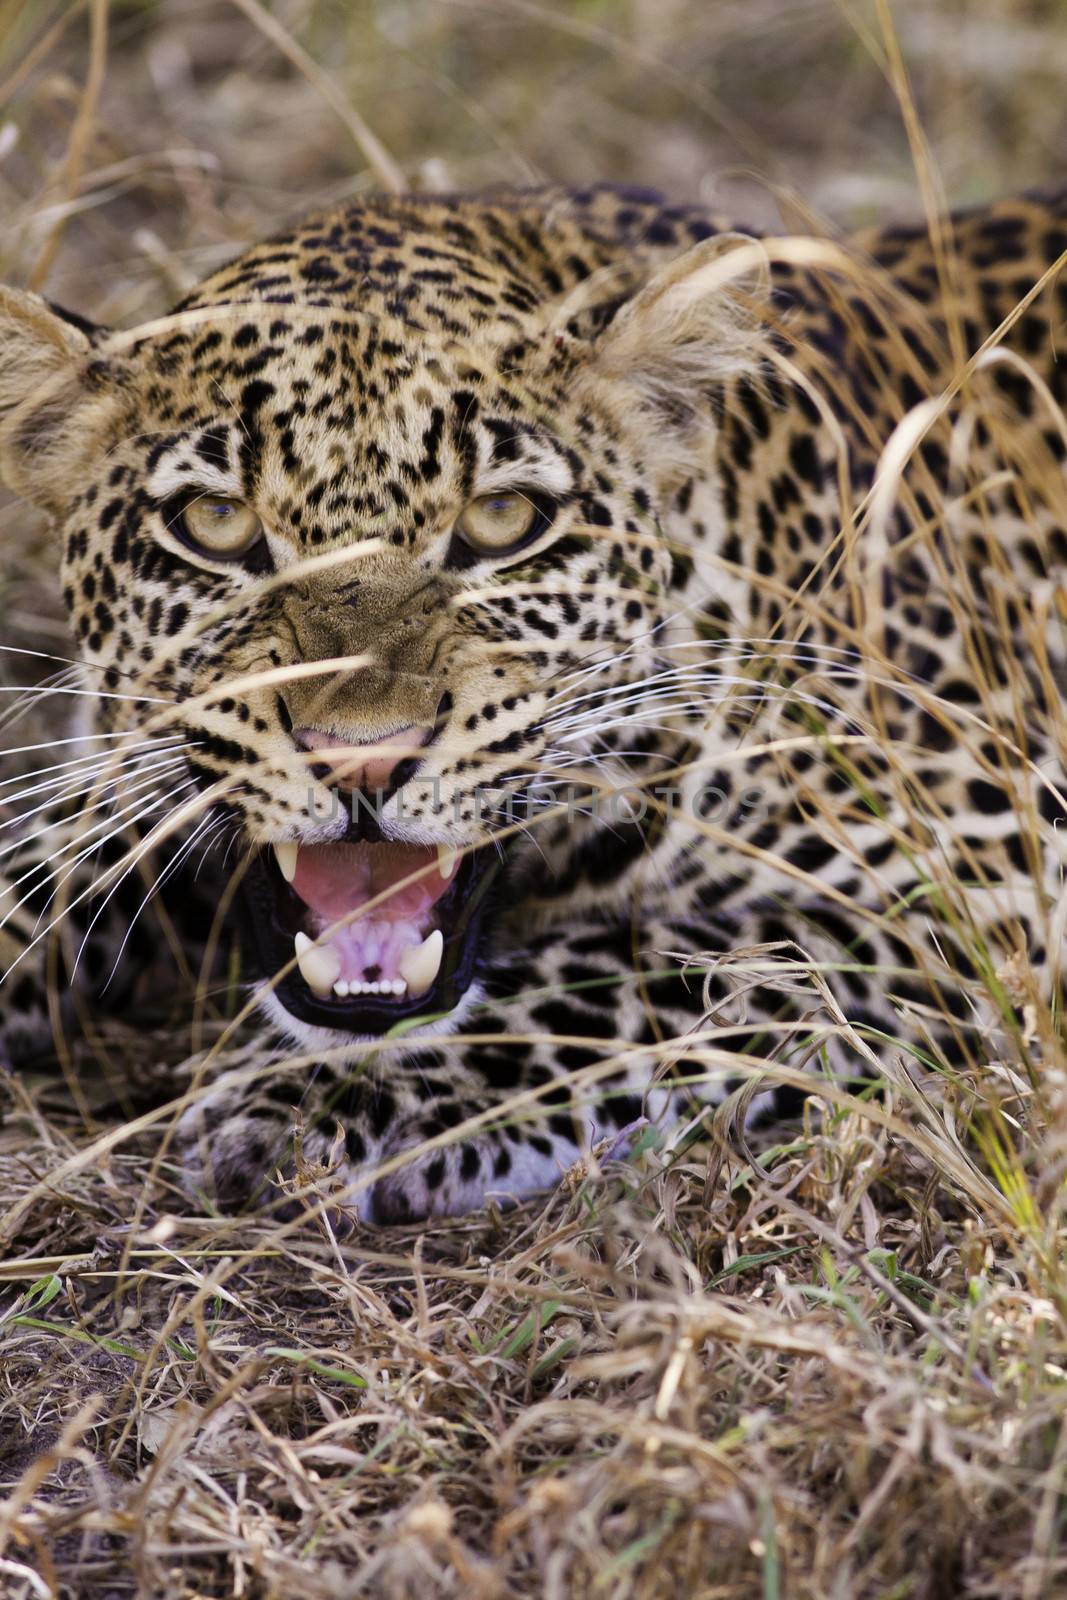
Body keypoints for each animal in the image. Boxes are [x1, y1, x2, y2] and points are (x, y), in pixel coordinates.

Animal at [2, 181, 1067, 1216]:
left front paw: (304, 1099)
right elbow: (34, 870)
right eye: (216, 522)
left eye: (503, 518)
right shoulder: (119, 785)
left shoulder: (987, 872)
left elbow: (655, 963)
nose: (361, 758)